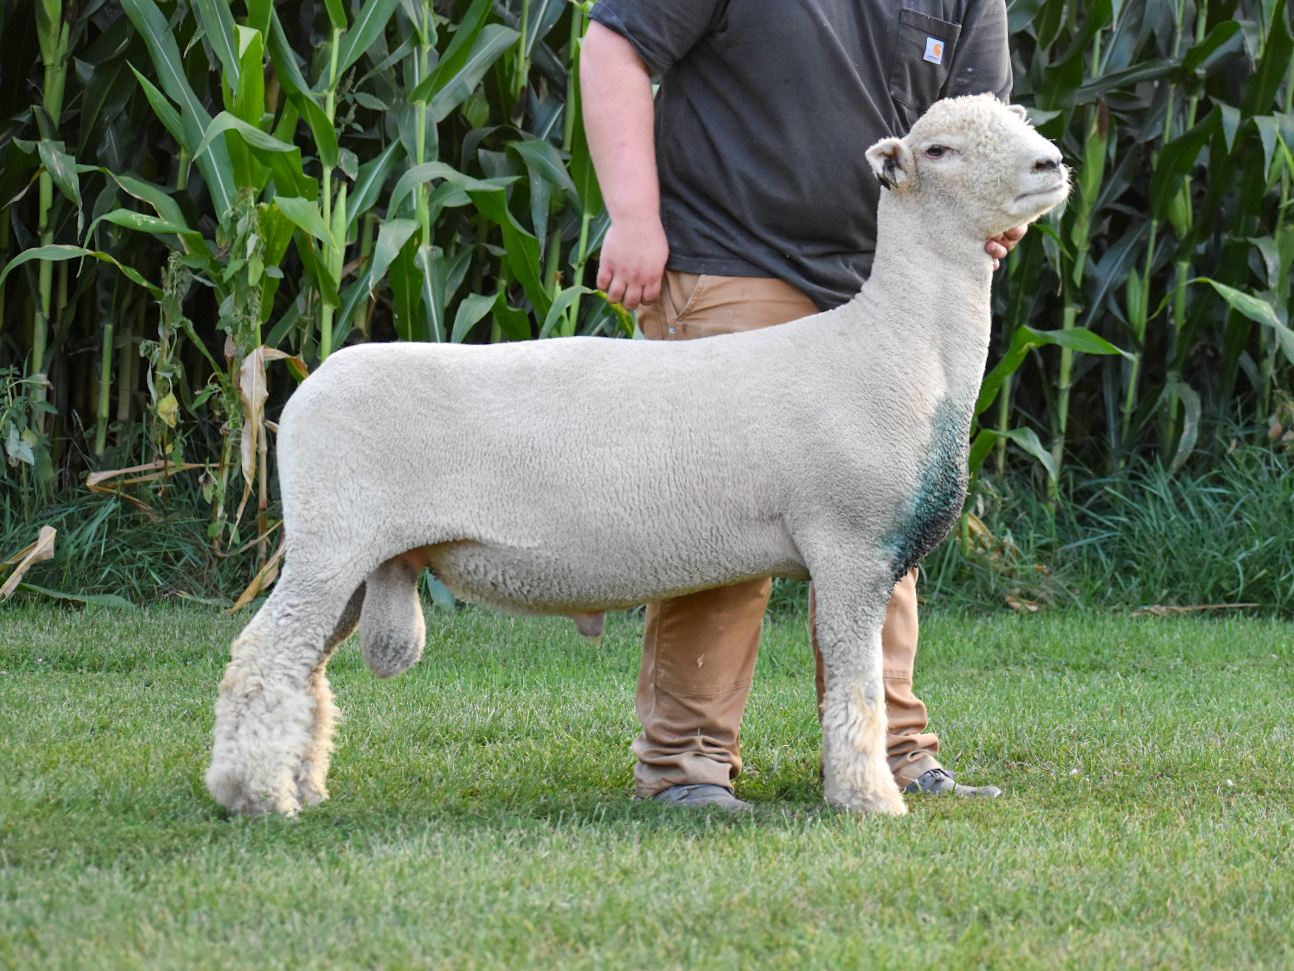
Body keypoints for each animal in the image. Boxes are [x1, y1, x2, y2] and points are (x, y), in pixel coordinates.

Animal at [206, 94, 1069, 819]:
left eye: (1019, 121)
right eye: (941, 149)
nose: (1052, 164)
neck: (896, 343)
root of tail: (303, 390)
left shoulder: (869, 554)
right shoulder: (851, 547)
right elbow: (859, 690)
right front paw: (870, 801)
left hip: (357, 557)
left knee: (305, 670)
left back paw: (301, 785)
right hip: (332, 538)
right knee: (262, 656)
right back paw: (255, 797)